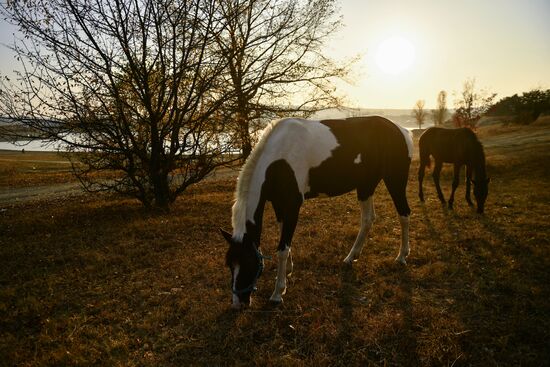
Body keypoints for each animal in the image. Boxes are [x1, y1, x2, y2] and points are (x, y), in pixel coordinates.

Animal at [220, 116, 414, 310]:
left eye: (248, 262)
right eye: (229, 264)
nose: (237, 304)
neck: (280, 159)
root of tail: (401, 130)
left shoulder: (293, 205)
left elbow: (282, 248)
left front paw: (278, 293)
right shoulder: (278, 204)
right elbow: (285, 238)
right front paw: (288, 270)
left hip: (394, 181)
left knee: (404, 214)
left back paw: (402, 256)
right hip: (365, 187)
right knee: (367, 220)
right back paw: (351, 257)